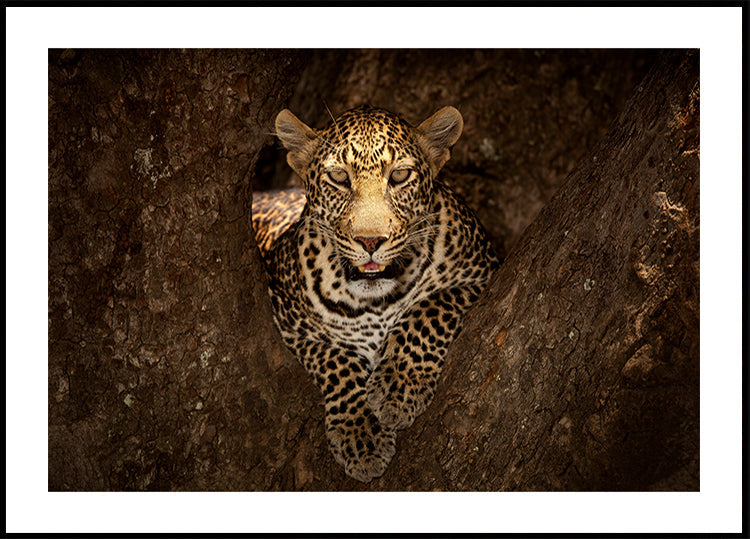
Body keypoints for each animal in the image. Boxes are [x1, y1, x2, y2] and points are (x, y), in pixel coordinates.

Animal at [252, 104, 499, 483]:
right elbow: (335, 359)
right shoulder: (288, 321)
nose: (370, 241)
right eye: (339, 177)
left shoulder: (483, 272)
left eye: (399, 176)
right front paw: (360, 434)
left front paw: (399, 385)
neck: (375, 302)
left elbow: (429, 308)